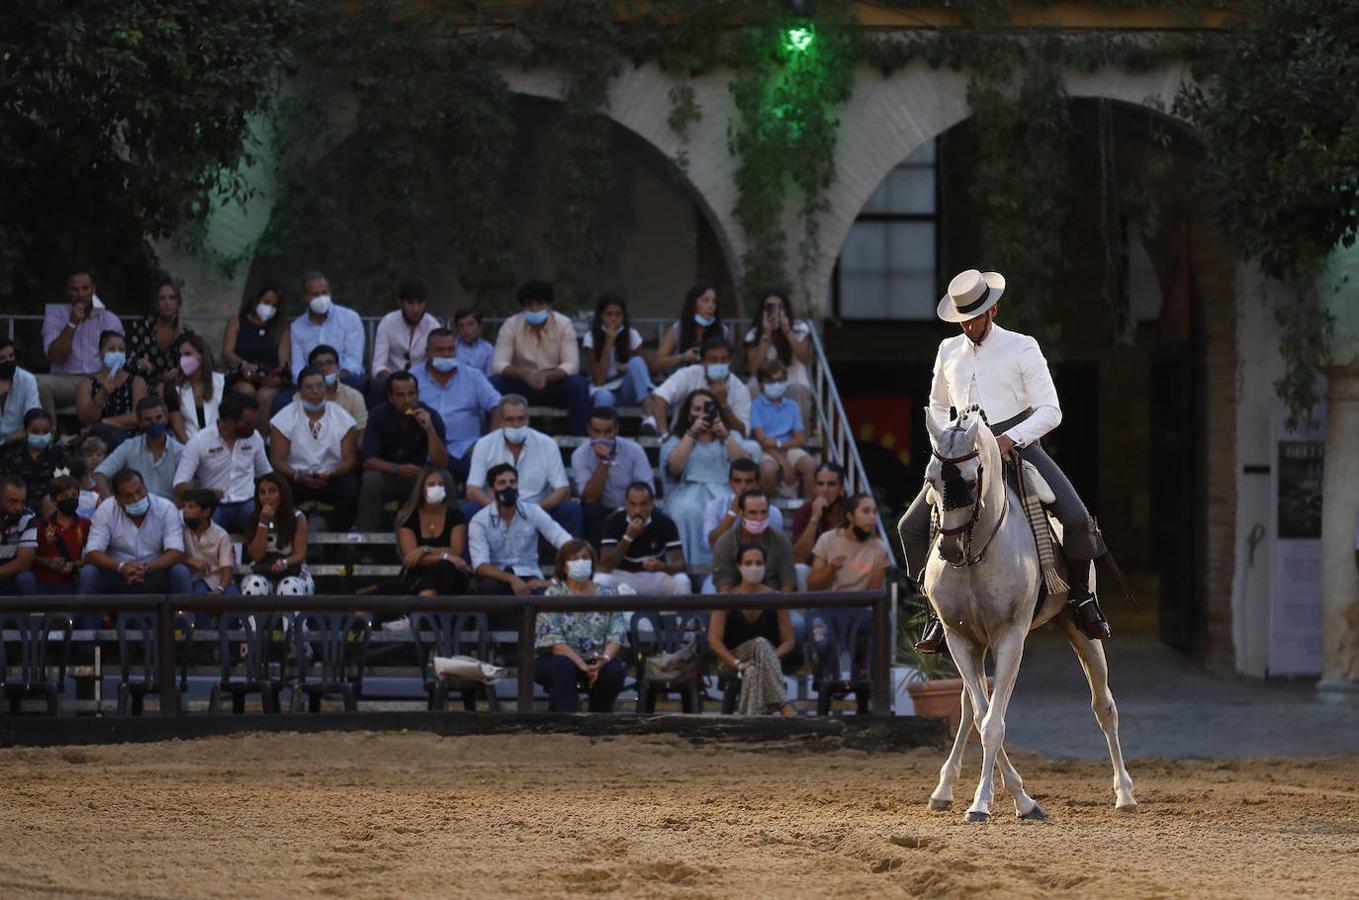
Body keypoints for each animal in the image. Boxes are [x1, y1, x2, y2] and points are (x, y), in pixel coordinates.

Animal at [913, 410, 1136, 826]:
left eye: (971, 480)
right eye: (930, 479)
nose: (948, 549)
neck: (977, 552)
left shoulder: (1010, 638)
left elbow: (992, 724)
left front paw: (987, 803)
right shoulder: (959, 639)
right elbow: (982, 715)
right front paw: (1015, 797)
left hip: (1080, 632)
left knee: (1104, 707)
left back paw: (1125, 795)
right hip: (976, 645)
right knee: (967, 707)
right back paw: (943, 789)